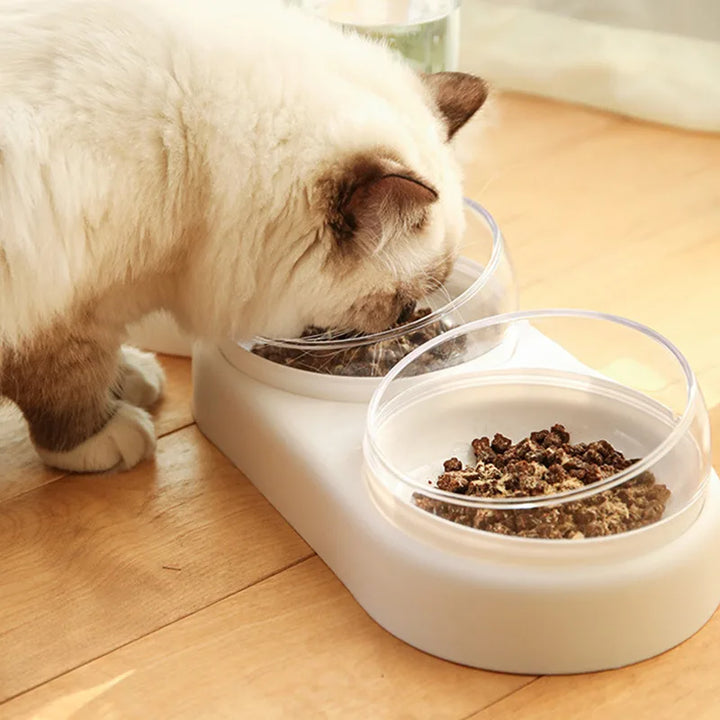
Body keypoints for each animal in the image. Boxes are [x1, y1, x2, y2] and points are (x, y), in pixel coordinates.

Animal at [0, 0, 490, 472]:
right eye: (402, 303)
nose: (405, 321)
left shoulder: (97, 290)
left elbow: (98, 351)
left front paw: (127, 378)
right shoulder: (50, 291)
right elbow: (64, 375)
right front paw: (98, 438)